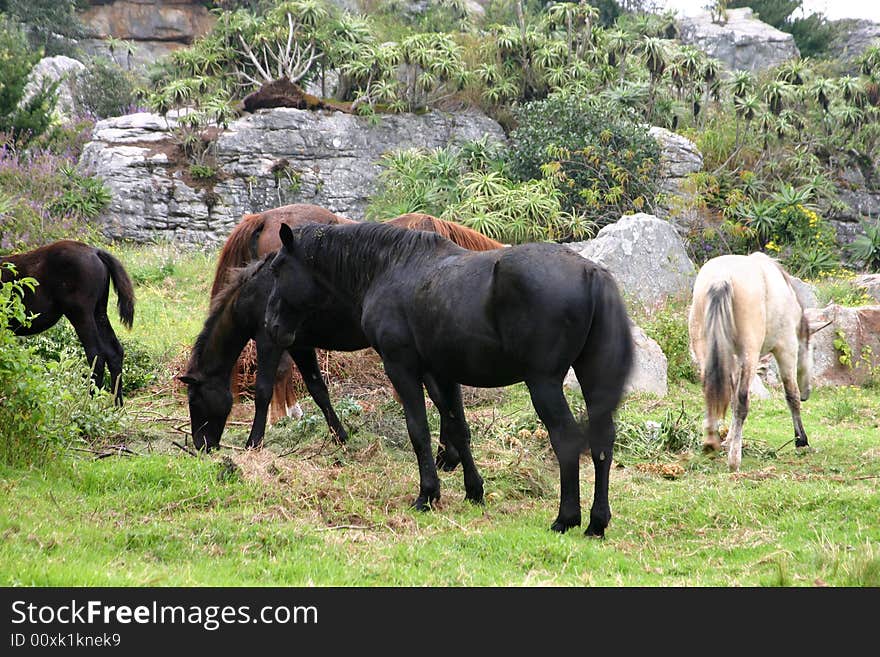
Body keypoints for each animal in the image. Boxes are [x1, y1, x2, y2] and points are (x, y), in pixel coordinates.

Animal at [0, 241, 135, 404]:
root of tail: (95, 251)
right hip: (99, 312)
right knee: (114, 352)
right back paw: (116, 406)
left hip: (80, 314)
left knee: (96, 354)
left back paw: (89, 404)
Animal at [266, 223, 632, 536]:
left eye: (278, 268)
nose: (271, 325)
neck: (390, 268)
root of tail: (590, 272)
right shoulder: (441, 372)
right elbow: (458, 428)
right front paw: (474, 491)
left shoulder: (401, 368)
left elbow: (419, 431)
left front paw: (427, 495)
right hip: (591, 381)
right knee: (602, 442)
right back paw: (596, 523)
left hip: (543, 384)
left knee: (567, 440)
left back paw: (566, 518)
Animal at [688, 251, 824, 472]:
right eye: (813, 349)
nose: (807, 394)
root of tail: (721, 279)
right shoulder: (786, 348)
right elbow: (791, 395)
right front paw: (801, 440)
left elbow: (731, 399)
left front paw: (728, 440)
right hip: (750, 354)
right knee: (743, 401)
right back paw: (734, 460)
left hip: (704, 349)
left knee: (713, 391)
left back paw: (711, 442)